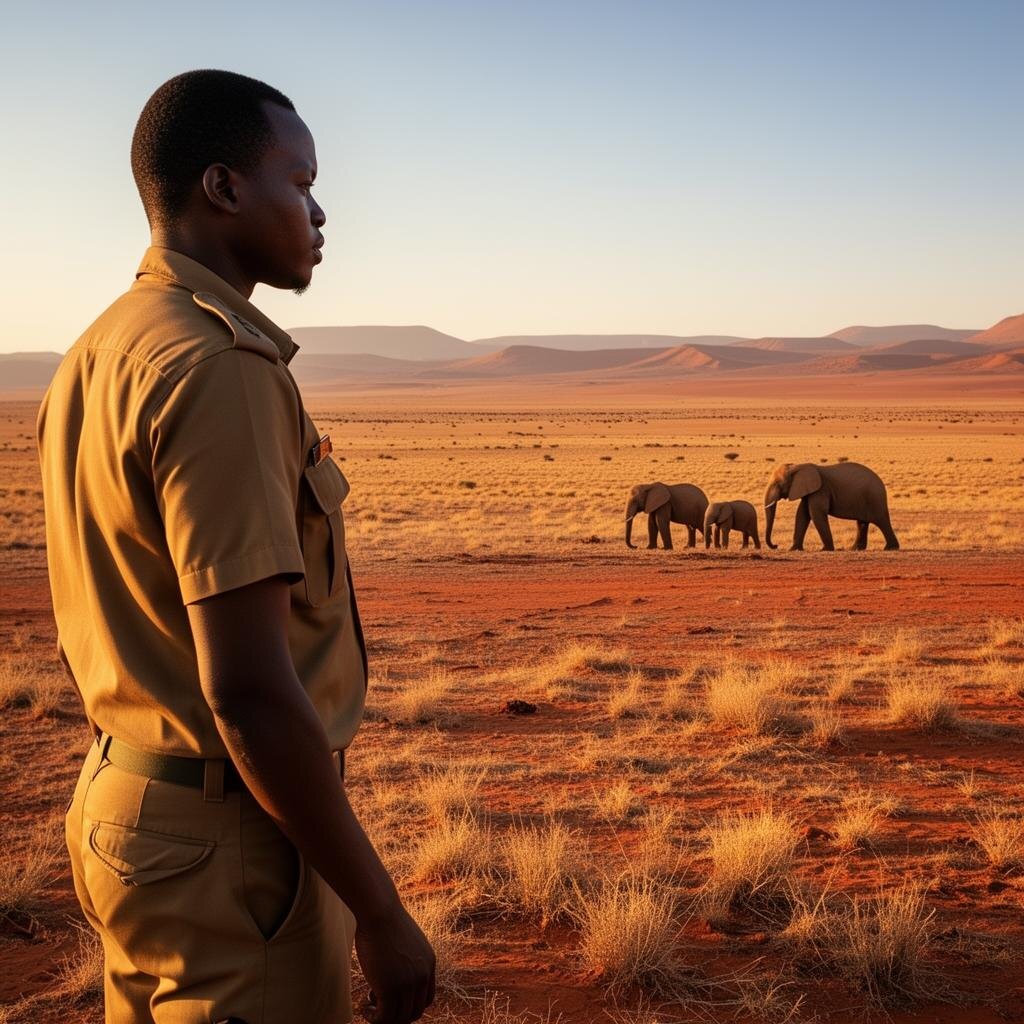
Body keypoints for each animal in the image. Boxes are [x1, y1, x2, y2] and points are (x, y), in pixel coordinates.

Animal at [763, 462, 899, 551]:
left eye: (777, 484)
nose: (776, 546)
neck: (798, 466)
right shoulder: (809, 490)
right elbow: (802, 514)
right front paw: (794, 549)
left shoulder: (821, 490)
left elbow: (816, 513)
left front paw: (825, 550)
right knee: (862, 523)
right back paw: (855, 549)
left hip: (875, 498)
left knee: (881, 521)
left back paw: (890, 548)